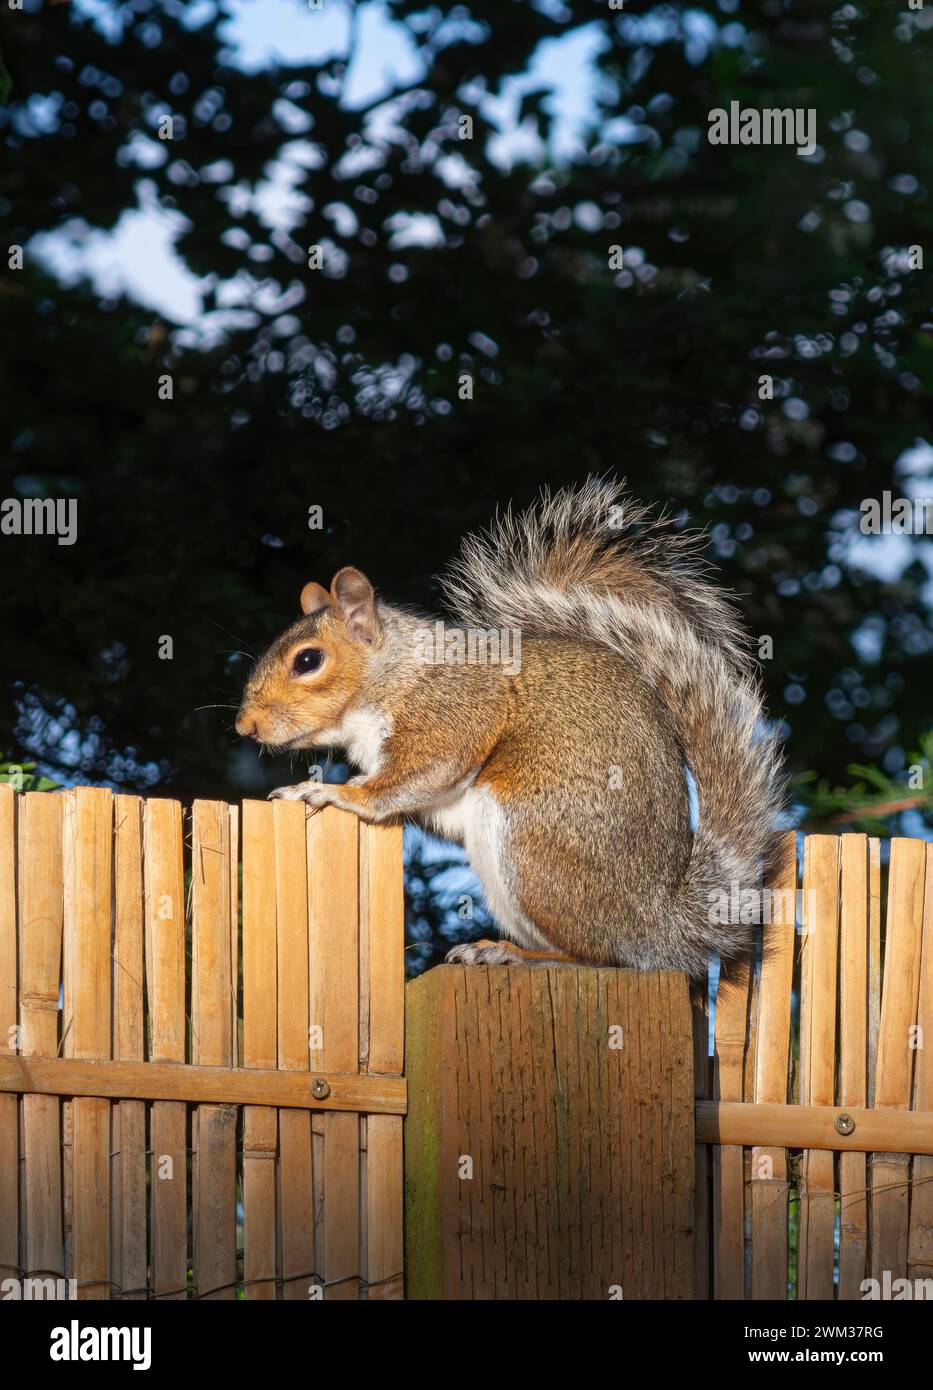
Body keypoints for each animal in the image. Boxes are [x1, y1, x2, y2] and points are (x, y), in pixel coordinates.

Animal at [235, 477, 784, 978]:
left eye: (308, 660)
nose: (245, 726)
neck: (396, 672)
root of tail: (662, 922)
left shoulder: (455, 712)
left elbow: (414, 774)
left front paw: (332, 792)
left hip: (531, 844)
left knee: (599, 955)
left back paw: (512, 953)